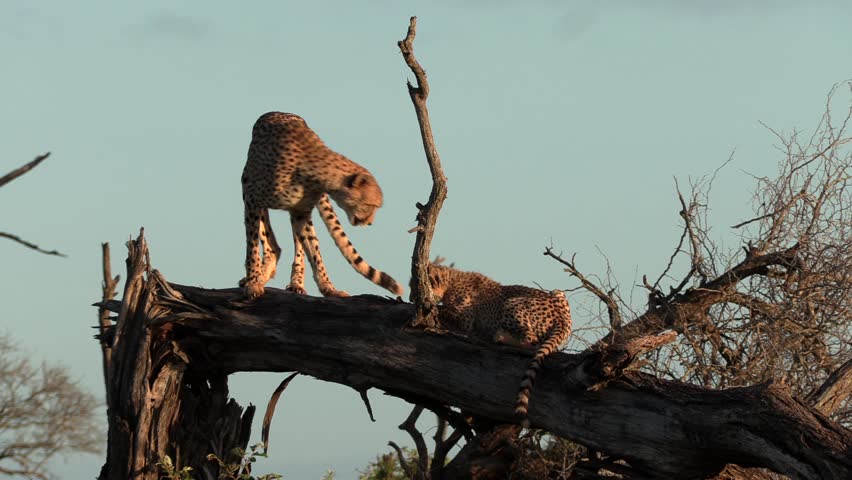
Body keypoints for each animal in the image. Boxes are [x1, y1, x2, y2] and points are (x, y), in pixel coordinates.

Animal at [240, 111, 404, 299]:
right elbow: (252, 246)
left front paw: (328, 287)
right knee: (270, 239)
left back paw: (294, 281)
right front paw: (253, 282)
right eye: (371, 204)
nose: (370, 222)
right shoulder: (252, 196)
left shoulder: (301, 212)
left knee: (293, 245)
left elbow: (313, 249)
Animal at [424, 263, 572, 427]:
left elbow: (442, 310)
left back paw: (500, 337)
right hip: (557, 292)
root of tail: (562, 319)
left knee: (531, 341)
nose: (413, 295)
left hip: (513, 303)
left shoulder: (464, 320)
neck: (450, 280)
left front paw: (429, 305)